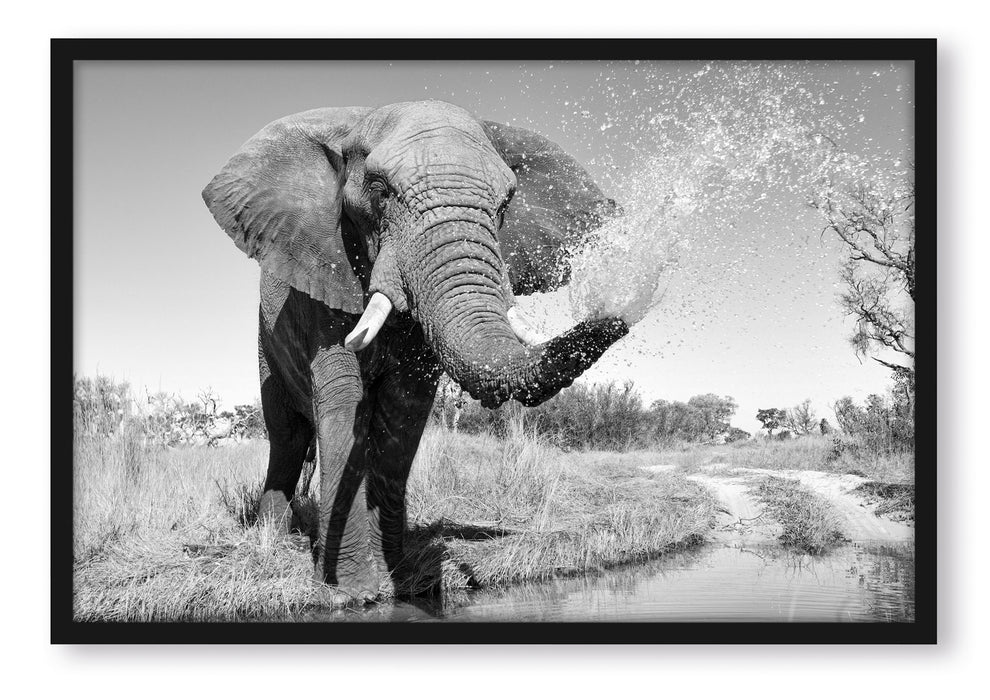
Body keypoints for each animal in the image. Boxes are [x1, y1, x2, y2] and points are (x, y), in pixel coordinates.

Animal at [202, 100, 628, 604]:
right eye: (379, 191)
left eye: (506, 204)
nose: (622, 310)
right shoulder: (324, 276)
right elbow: (343, 400)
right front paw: (353, 591)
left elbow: (404, 410)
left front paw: (401, 581)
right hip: (265, 340)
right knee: (286, 434)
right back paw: (273, 534)